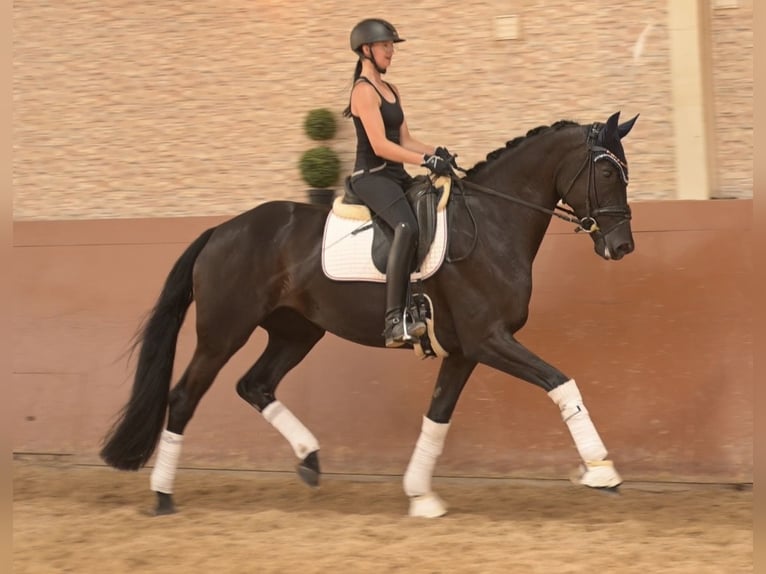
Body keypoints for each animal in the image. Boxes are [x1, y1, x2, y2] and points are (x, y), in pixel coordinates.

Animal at [100, 110, 639, 518]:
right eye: (607, 172)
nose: (622, 246)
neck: (490, 225)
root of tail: (221, 230)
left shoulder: (464, 351)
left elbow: (437, 417)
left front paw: (421, 497)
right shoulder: (488, 339)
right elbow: (562, 383)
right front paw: (602, 471)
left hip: (296, 333)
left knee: (255, 384)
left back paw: (310, 459)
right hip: (223, 332)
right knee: (184, 397)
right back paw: (163, 495)